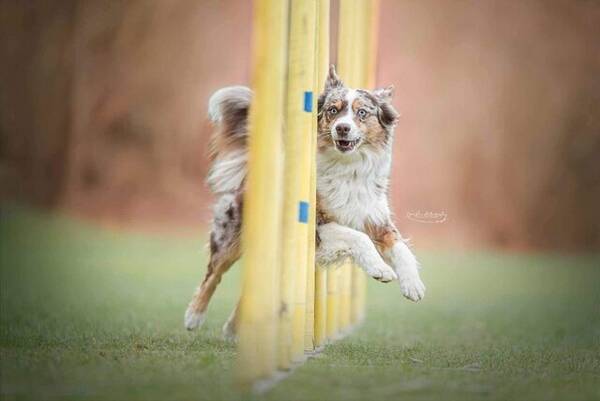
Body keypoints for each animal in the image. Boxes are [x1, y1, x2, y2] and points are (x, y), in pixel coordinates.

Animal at [185, 65, 424, 338]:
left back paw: (233, 329)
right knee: (213, 274)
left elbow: (401, 248)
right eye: (333, 110)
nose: (342, 128)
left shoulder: (376, 220)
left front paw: (413, 284)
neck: (348, 169)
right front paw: (380, 269)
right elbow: (358, 238)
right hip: (233, 236)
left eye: (362, 113)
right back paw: (194, 316)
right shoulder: (319, 226)